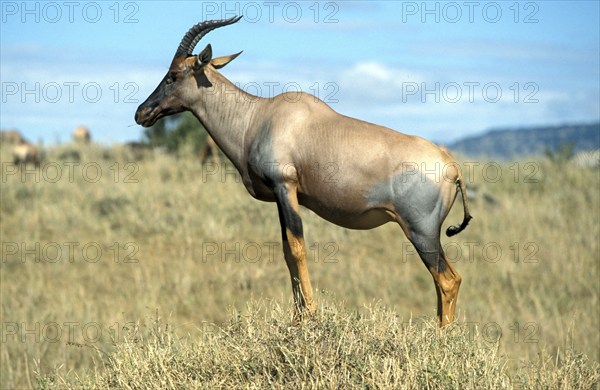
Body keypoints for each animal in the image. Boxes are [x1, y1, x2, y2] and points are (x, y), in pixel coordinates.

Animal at [136, 16, 474, 326]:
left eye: (174, 75)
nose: (142, 113)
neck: (258, 117)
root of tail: (451, 166)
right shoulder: (280, 196)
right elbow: (287, 252)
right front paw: (297, 316)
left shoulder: (285, 186)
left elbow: (298, 248)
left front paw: (309, 314)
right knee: (443, 282)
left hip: (421, 231)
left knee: (448, 280)